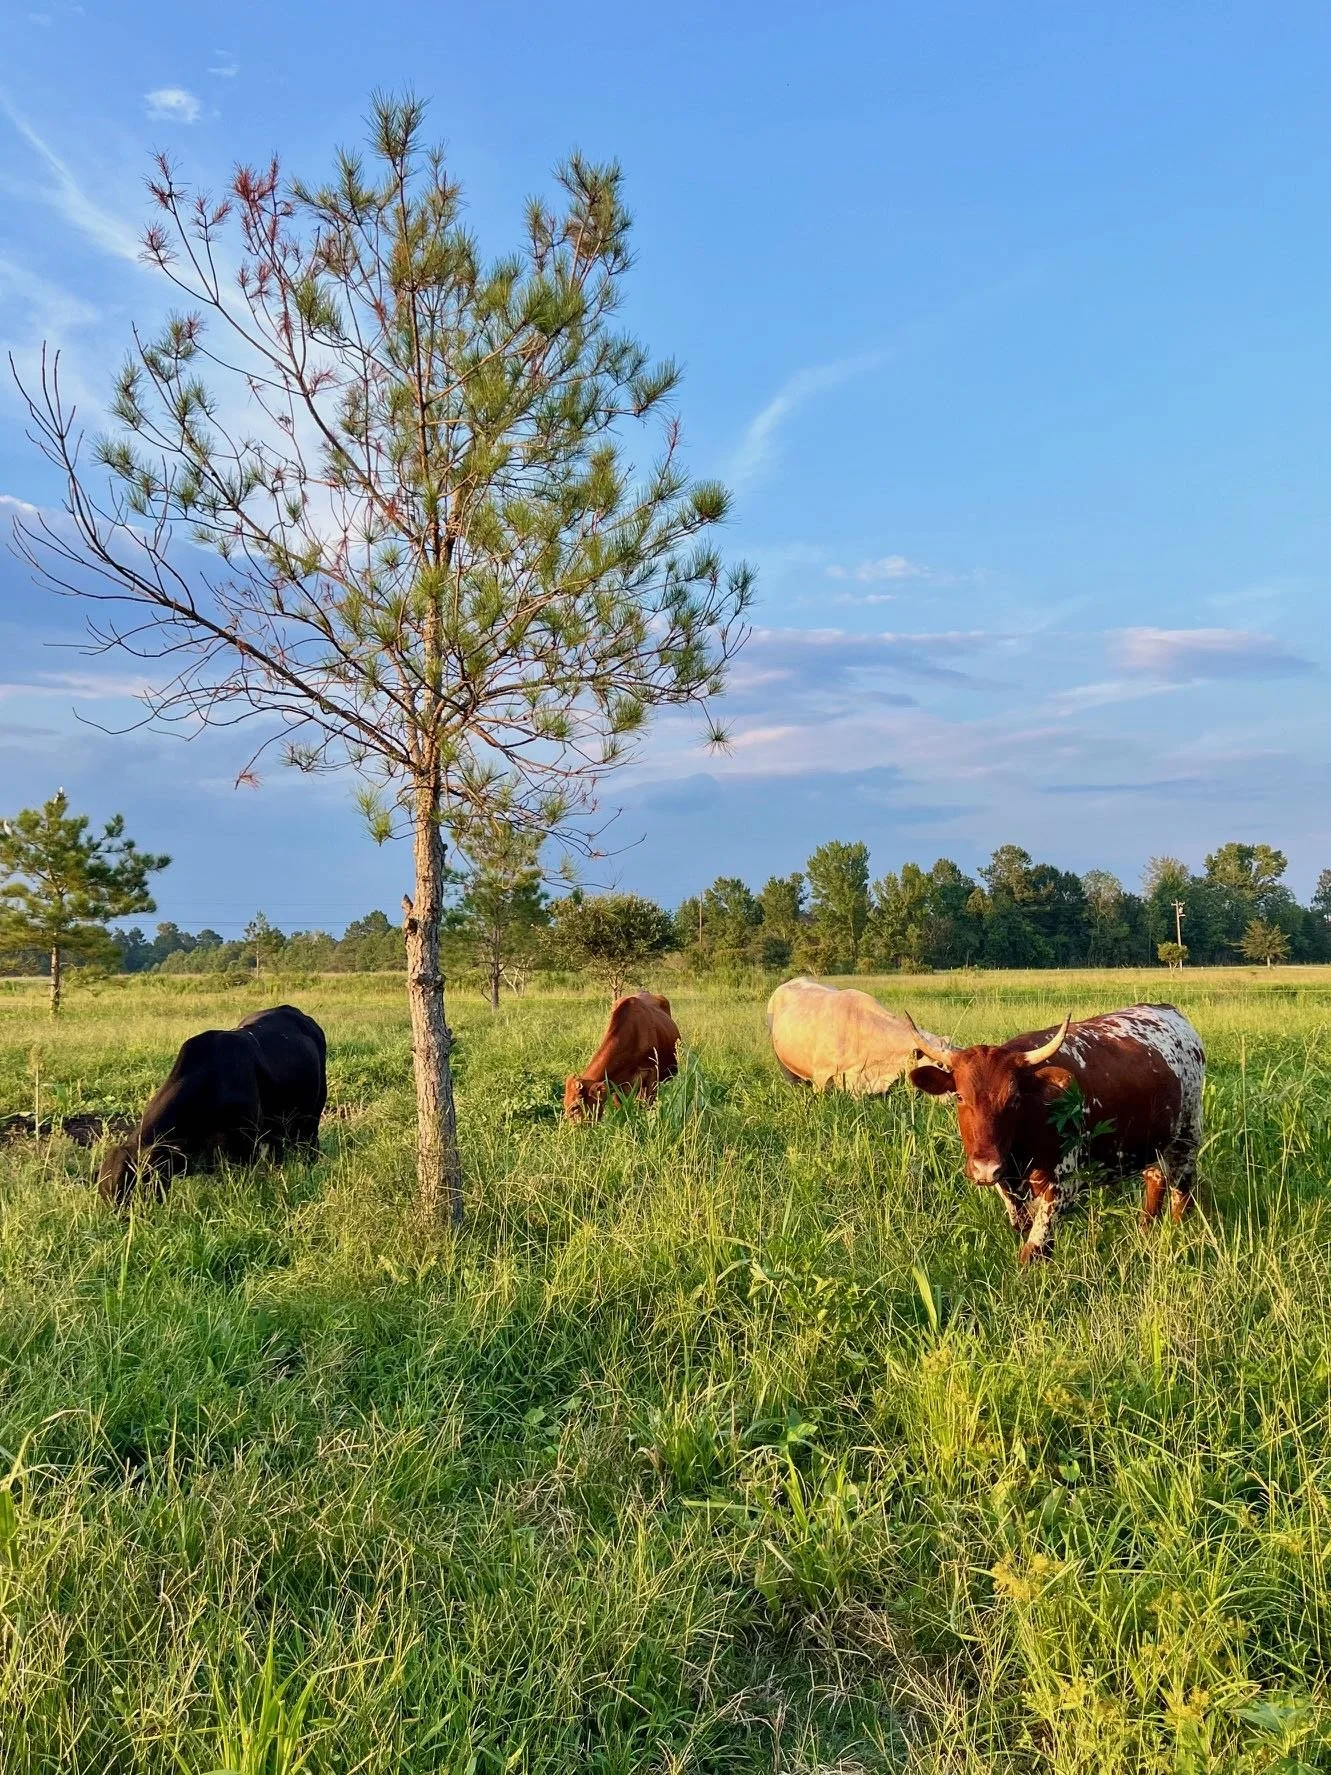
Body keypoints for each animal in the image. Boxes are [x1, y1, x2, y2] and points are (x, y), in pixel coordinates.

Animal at [564, 992, 681, 1121]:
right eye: (564, 1104)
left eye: (575, 1107)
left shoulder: (653, 1073)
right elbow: (621, 1107)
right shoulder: (619, 1084)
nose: (570, 1127)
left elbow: (648, 1105)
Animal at [905, 1003, 1205, 1265]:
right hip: (1153, 1142)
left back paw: (1178, 1230)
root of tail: (1168, 1010)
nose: (985, 1168)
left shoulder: (1062, 1186)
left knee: (1181, 1190)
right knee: (1155, 1179)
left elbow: (1033, 1250)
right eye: (959, 1096)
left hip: (1187, 1136)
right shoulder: (1010, 1189)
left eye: (1014, 1099)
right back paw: (1144, 1231)